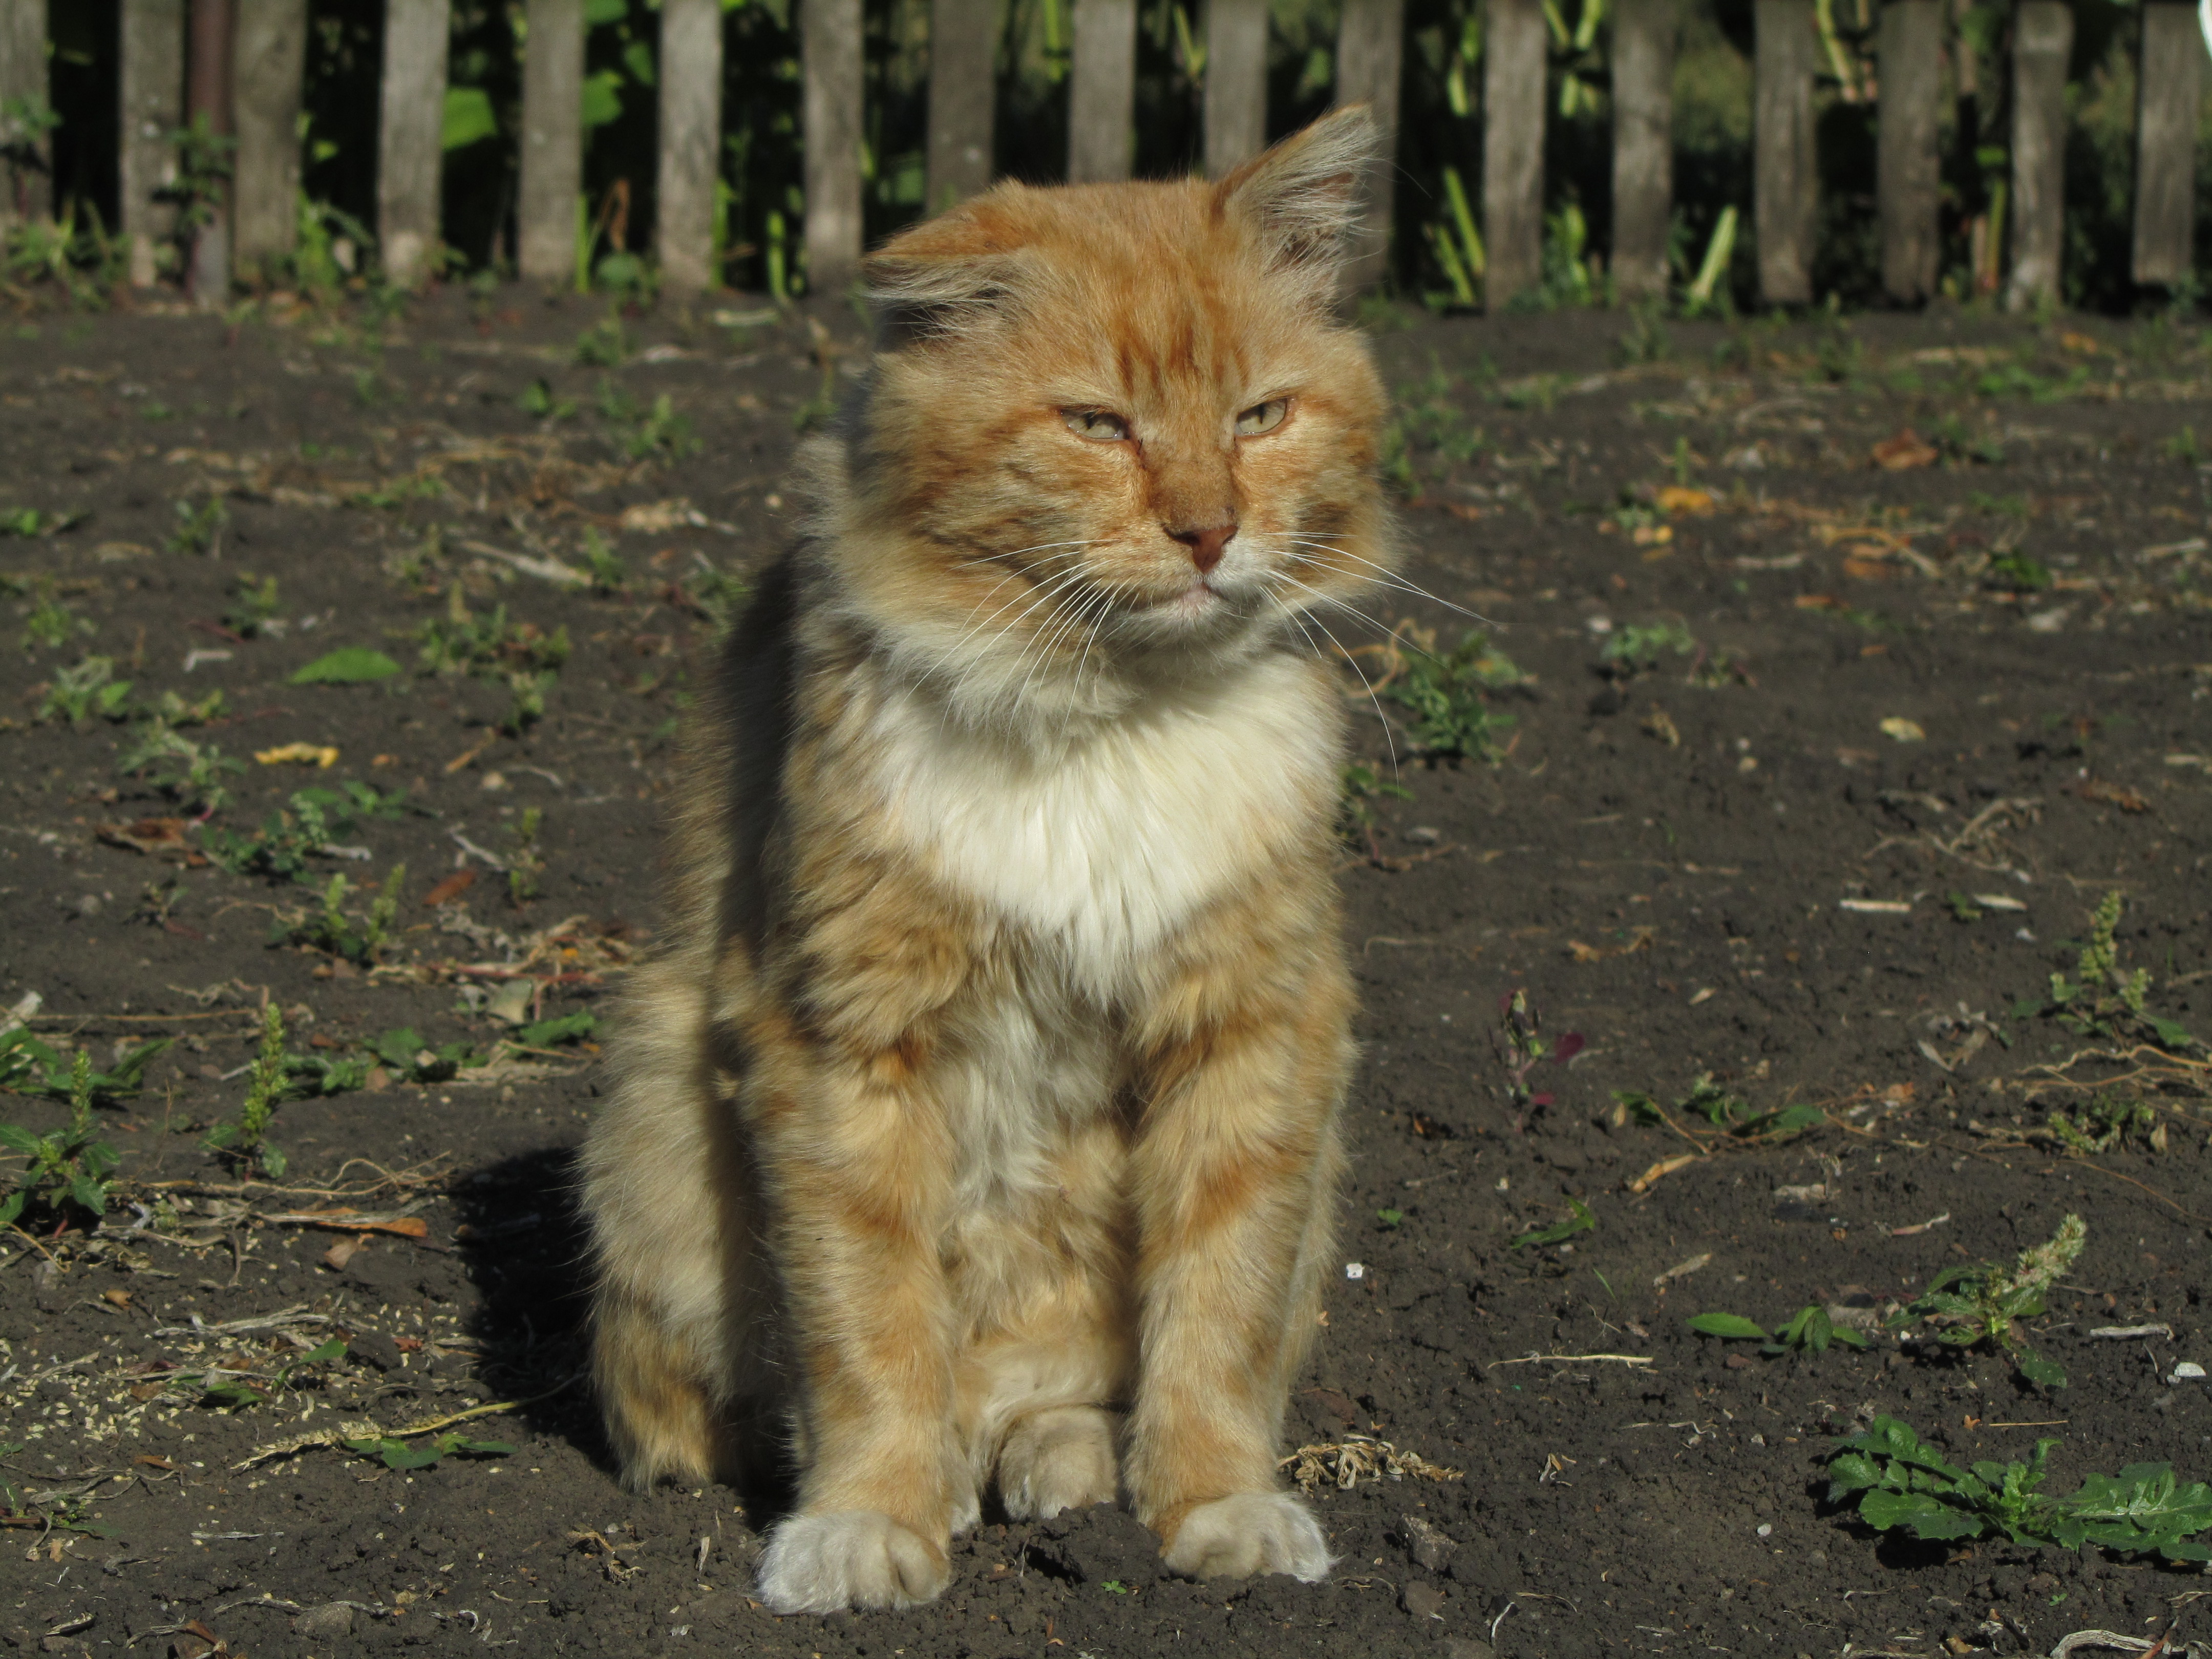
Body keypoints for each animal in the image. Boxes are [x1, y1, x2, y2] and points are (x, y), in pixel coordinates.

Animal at [579, 104, 1389, 1610]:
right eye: (1097, 424)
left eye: (1259, 417)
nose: (1209, 529)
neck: (1107, 719)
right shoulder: (845, 1040)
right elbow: (872, 1326)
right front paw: (874, 1518)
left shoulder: (1255, 1033)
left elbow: (1218, 1314)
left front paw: (1214, 1503)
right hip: (656, 1102)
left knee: (1060, 1388)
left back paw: (1057, 1459)